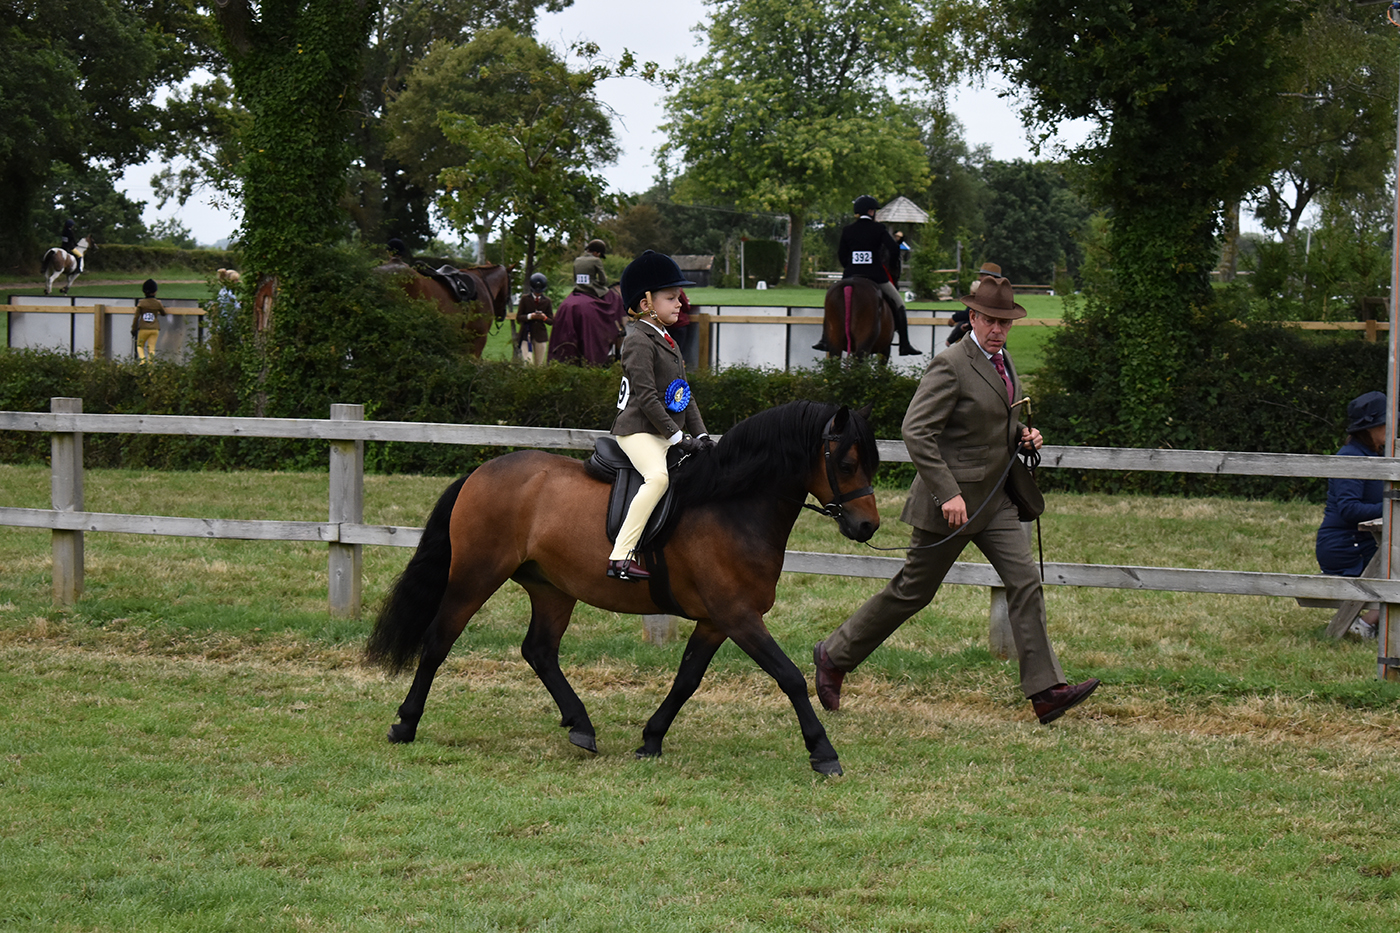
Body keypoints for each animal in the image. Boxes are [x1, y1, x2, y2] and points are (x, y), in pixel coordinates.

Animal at [365, 400, 882, 775]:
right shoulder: (738, 616)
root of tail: (482, 471)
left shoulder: (716, 621)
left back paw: (581, 726)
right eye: (848, 462)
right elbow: (789, 676)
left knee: (540, 650)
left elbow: (687, 679)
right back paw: (405, 724)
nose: (868, 526)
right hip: (476, 575)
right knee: (438, 640)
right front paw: (823, 752)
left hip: (552, 589)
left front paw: (651, 739)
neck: (731, 503)